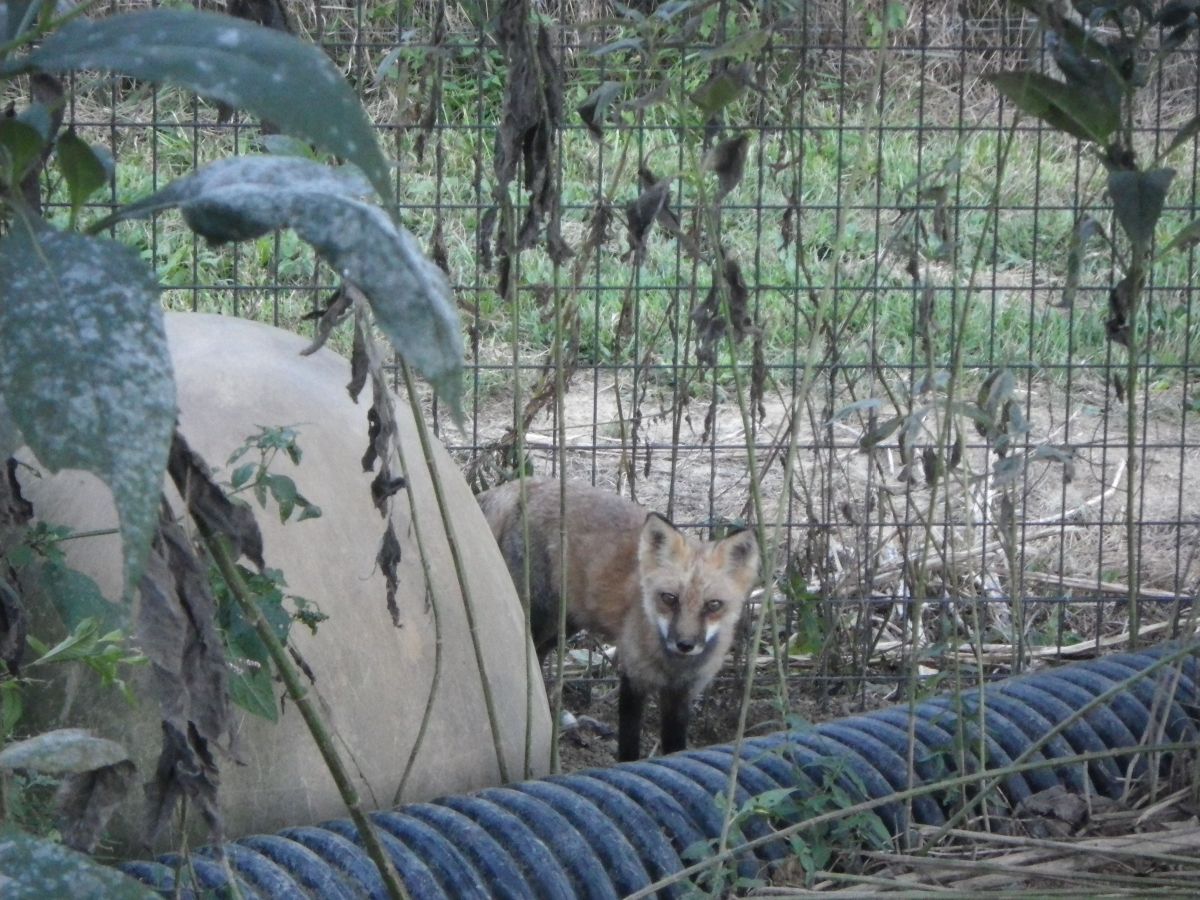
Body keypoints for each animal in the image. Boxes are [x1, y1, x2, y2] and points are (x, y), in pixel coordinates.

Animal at [477, 477, 759, 761]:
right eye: (669, 598)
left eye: (714, 605)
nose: (685, 644)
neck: (673, 667)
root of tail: (526, 482)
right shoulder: (633, 678)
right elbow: (629, 745)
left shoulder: (682, 695)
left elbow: (675, 747)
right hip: (537, 614)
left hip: (564, 623)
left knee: (538, 657)